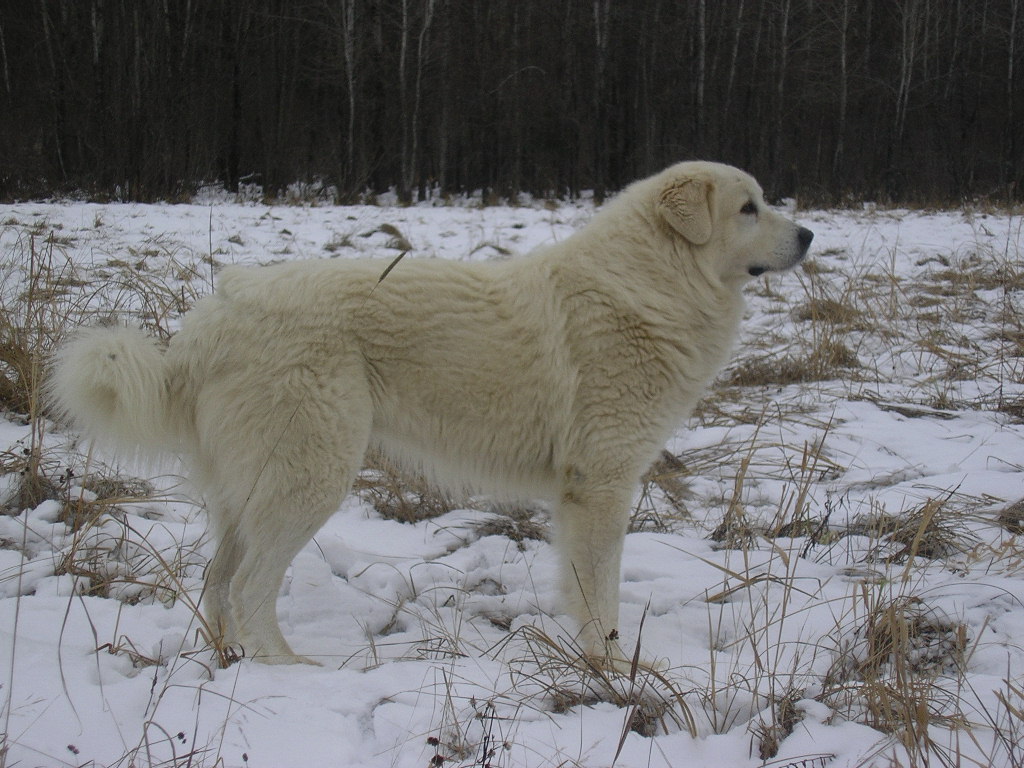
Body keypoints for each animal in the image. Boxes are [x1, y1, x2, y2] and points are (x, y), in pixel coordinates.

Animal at [49, 160, 815, 667]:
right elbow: (600, 593)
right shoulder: (599, 486)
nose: (808, 235)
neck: (655, 280)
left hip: (252, 487)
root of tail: (212, 318)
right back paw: (290, 670)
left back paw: (230, 658)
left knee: (216, 581)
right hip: (308, 476)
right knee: (248, 584)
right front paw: (612, 668)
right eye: (747, 208)